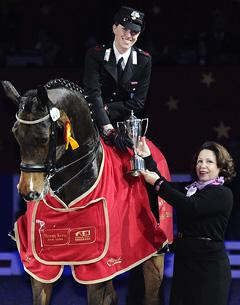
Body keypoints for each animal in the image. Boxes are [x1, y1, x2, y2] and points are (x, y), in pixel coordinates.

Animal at [1, 79, 172, 304]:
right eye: (15, 133)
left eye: (45, 138)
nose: (28, 192)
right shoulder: (40, 265)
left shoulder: (97, 268)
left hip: (154, 258)